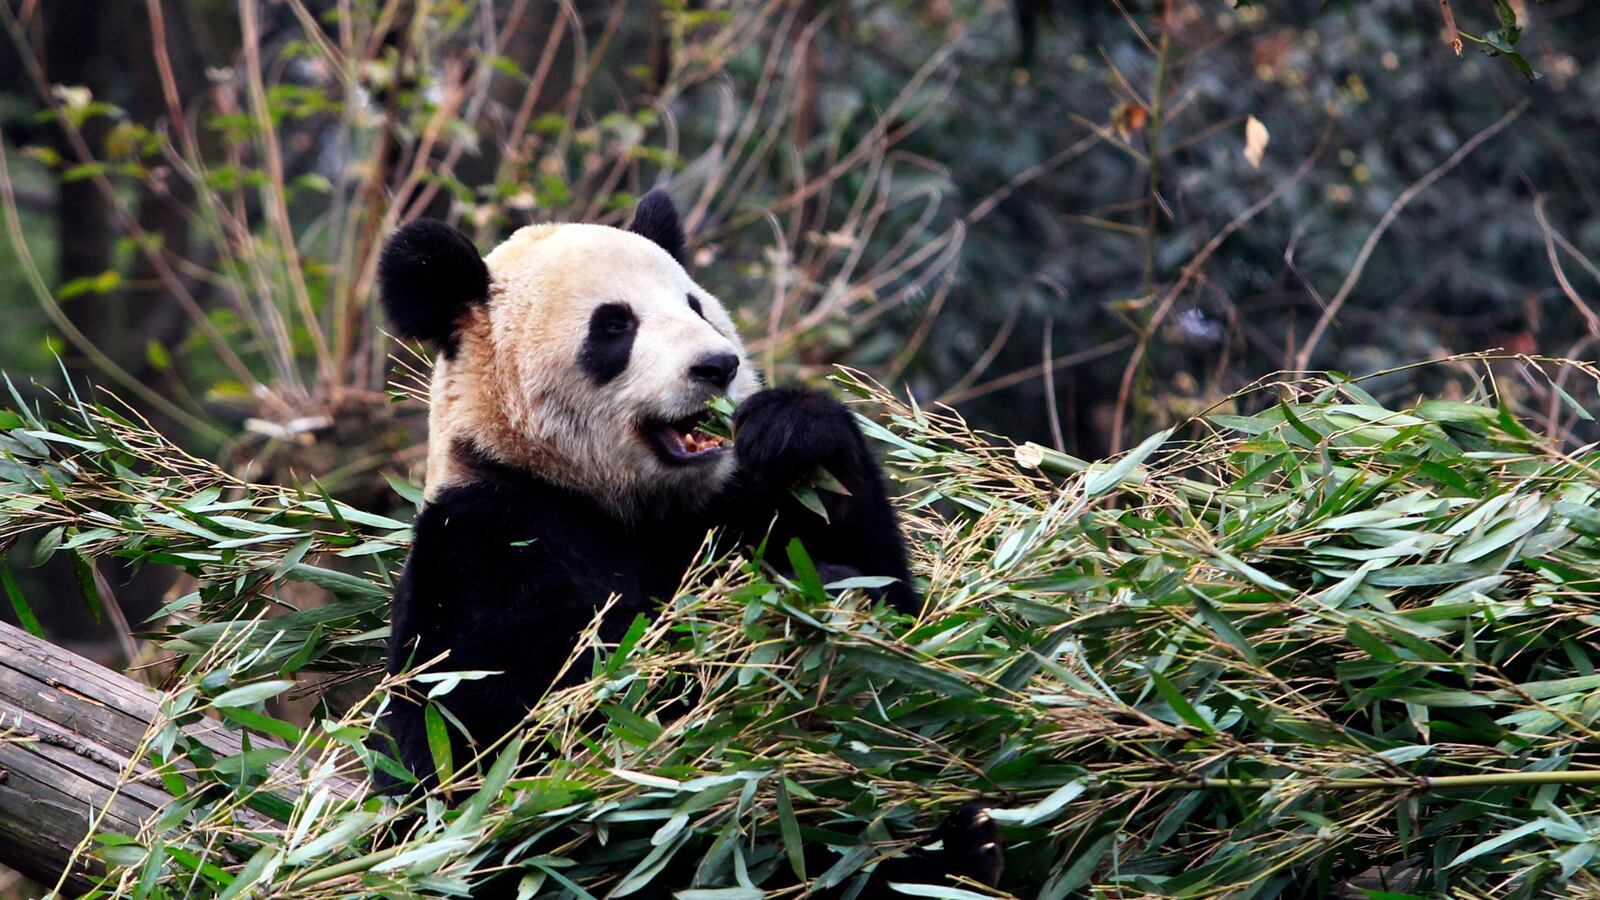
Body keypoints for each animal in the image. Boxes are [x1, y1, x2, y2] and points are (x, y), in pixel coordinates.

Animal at [375, 190, 1001, 893]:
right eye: (613, 326)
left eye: (696, 305)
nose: (718, 365)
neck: (609, 500)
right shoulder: (485, 546)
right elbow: (538, 731)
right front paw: (779, 621)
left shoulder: (731, 502)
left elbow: (900, 606)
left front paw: (796, 435)